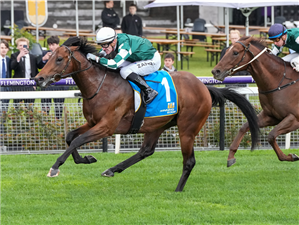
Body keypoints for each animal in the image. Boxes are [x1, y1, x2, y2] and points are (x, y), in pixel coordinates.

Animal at [33, 37, 260, 192]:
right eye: (48, 57)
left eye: (59, 58)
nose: (38, 78)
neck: (100, 85)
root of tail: (204, 87)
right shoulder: (93, 122)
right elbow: (71, 136)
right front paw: (87, 159)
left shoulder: (106, 127)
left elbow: (77, 140)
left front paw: (55, 167)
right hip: (157, 125)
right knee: (146, 151)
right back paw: (112, 169)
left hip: (187, 128)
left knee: (189, 161)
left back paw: (178, 189)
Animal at [212, 36, 299, 167]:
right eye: (226, 51)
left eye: (235, 52)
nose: (215, 71)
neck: (280, 81)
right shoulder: (271, 116)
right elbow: (245, 126)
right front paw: (231, 156)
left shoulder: (294, 118)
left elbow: (271, 135)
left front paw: (290, 156)